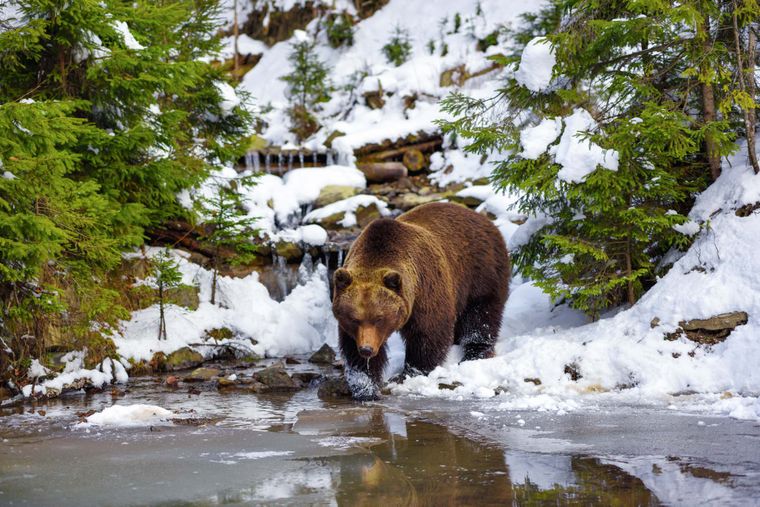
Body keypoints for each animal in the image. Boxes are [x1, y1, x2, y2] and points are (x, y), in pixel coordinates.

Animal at [332, 200, 510, 398]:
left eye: (379, 318)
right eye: (354, 318)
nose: (367, 349)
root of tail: (483, 219)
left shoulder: (426, 290)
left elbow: (427, 334)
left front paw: (411, 373)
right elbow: (352, 349)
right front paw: (365, 386)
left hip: (480, 271)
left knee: (481, 315)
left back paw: (475, 352)